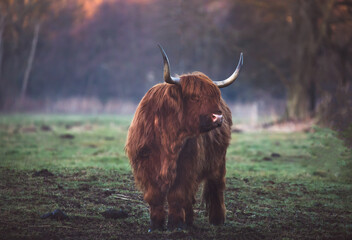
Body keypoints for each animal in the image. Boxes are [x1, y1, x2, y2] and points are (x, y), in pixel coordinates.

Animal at [125, 44, 243, 231]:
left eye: (215, 96)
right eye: (194, 97)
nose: (218, 117)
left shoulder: (186, 166)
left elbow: (177, 195)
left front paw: (175, 224)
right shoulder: (145, 165)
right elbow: (154, 196)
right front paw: (156, 224)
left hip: (218, 162)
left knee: (216, 187)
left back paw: (216, 220)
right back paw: (189, 221)